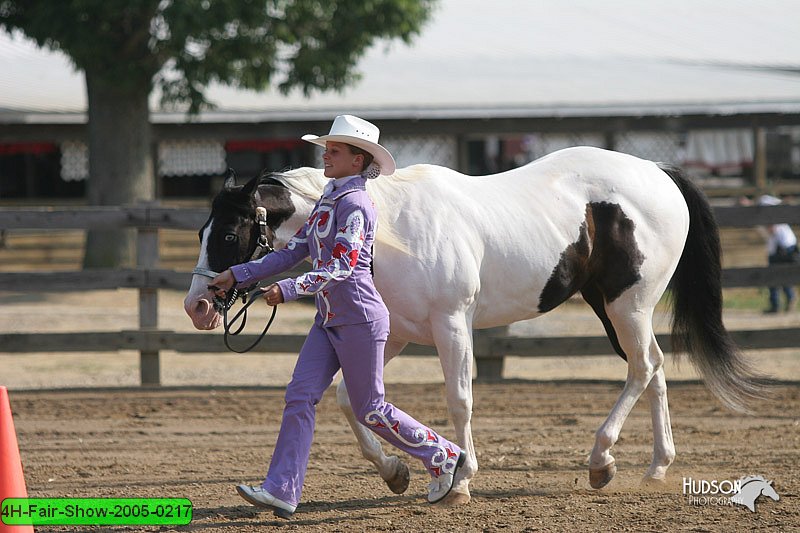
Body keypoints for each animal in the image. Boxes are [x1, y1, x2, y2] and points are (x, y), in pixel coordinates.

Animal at [184, 147, 764, 502]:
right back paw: (655, 466)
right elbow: (353, 399)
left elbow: (459, 398)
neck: (393, 228)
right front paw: (396, 473)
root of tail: (658, 172)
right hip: (615, 308)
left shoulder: (452, 324)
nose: (198, 305)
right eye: (202, 229)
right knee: (655, 369)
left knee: (643, 367)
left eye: (230, 234)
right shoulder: (396, 333)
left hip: (628, 304)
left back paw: (601, 460)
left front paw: (459, 480)